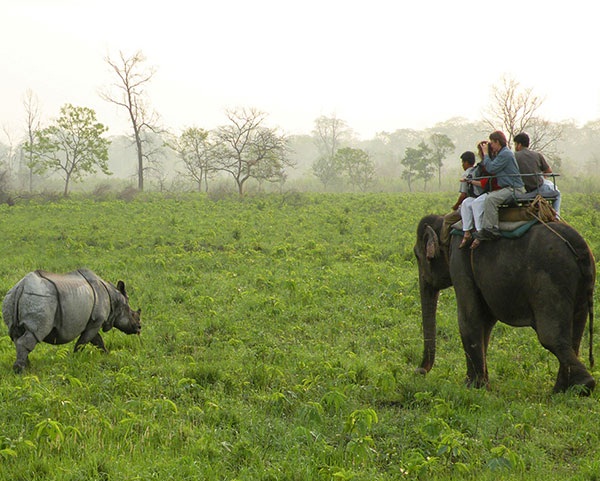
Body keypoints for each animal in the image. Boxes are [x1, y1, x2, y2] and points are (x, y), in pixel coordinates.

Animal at [414, 215, 596, 394]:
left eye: (417, 255)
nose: (420, 371)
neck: (445, 225)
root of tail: (578, 245)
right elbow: (485, 323)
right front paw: (481, 385)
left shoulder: (459, 261)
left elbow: (469, 319)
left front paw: (472, 388)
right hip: (581, 285)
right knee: (575, 335)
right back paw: (561, 390)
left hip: (551, 281)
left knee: (550, 337)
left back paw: (582, 386)